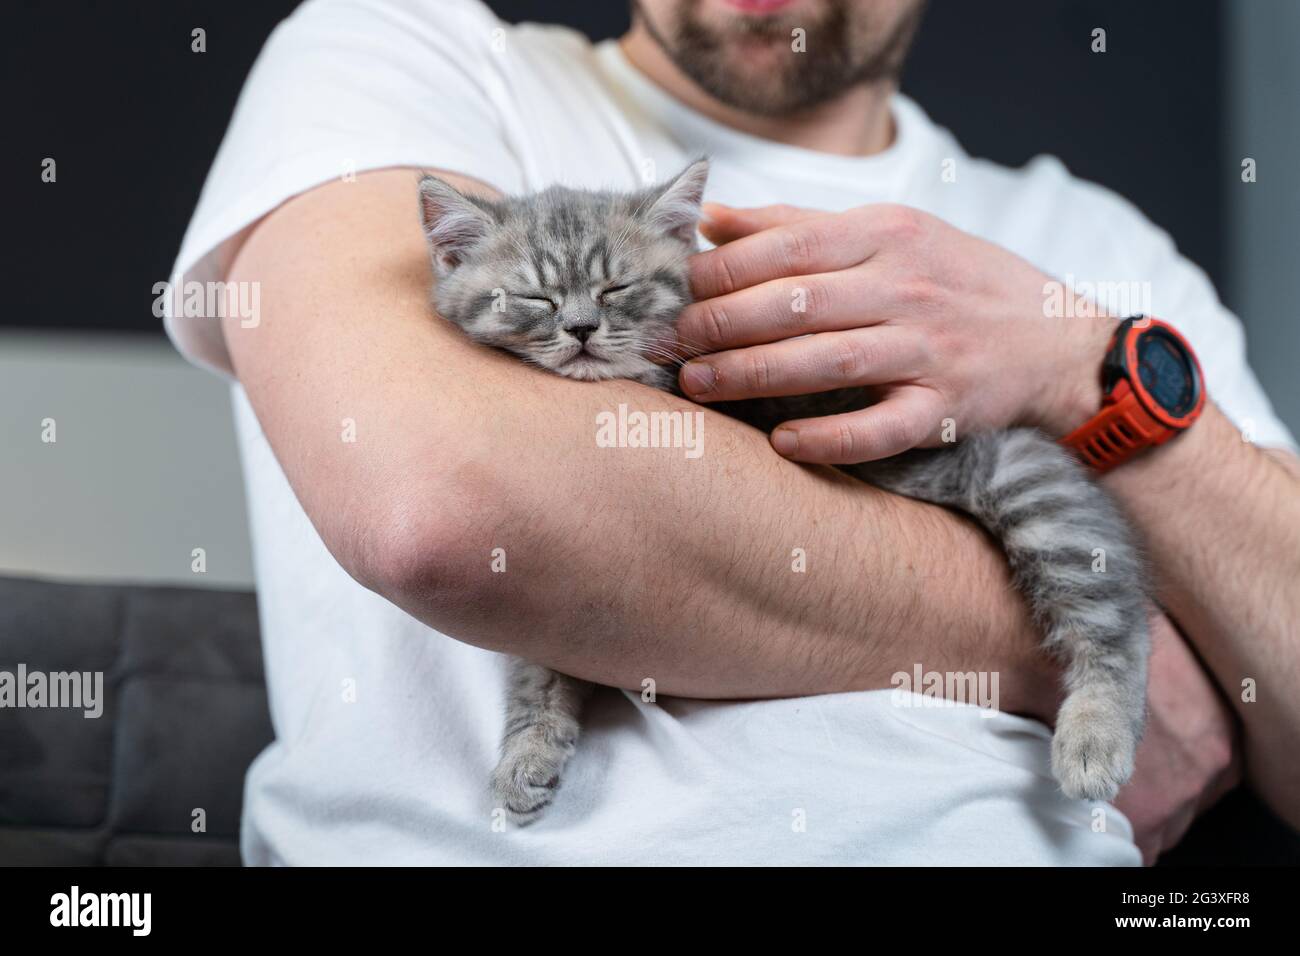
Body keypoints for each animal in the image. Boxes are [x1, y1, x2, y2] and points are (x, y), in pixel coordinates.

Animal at [416, 162, 1149, 822]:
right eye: (535, 298)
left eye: (616, 287)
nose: (580, 328)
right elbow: (541, 661)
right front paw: (528, 750)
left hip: (1026, 483)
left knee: (1119, 621)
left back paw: (1096, 738)